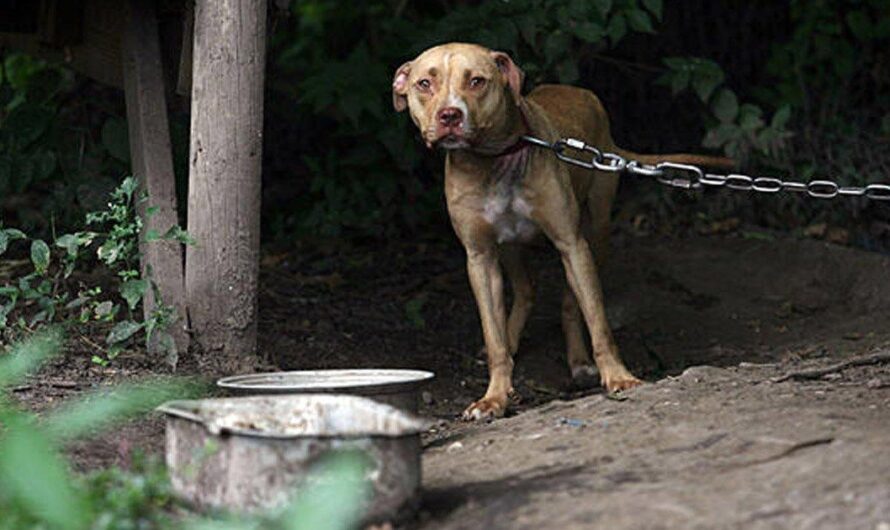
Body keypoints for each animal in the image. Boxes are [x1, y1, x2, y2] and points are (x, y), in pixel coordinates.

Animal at [392, 43, 732, 418]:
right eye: (424, 84)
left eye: (477, 81)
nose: (450, 115)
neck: (495, 161)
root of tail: (581, 93)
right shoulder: (480, 258)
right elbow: (494, 337)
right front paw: (493, 396)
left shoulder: (571, 242)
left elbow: (598, 323)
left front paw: (618, 376)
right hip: (510, 249)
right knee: (526, 289)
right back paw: (513, 341)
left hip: (594, 233)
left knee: (571, 302)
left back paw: (580, 362)